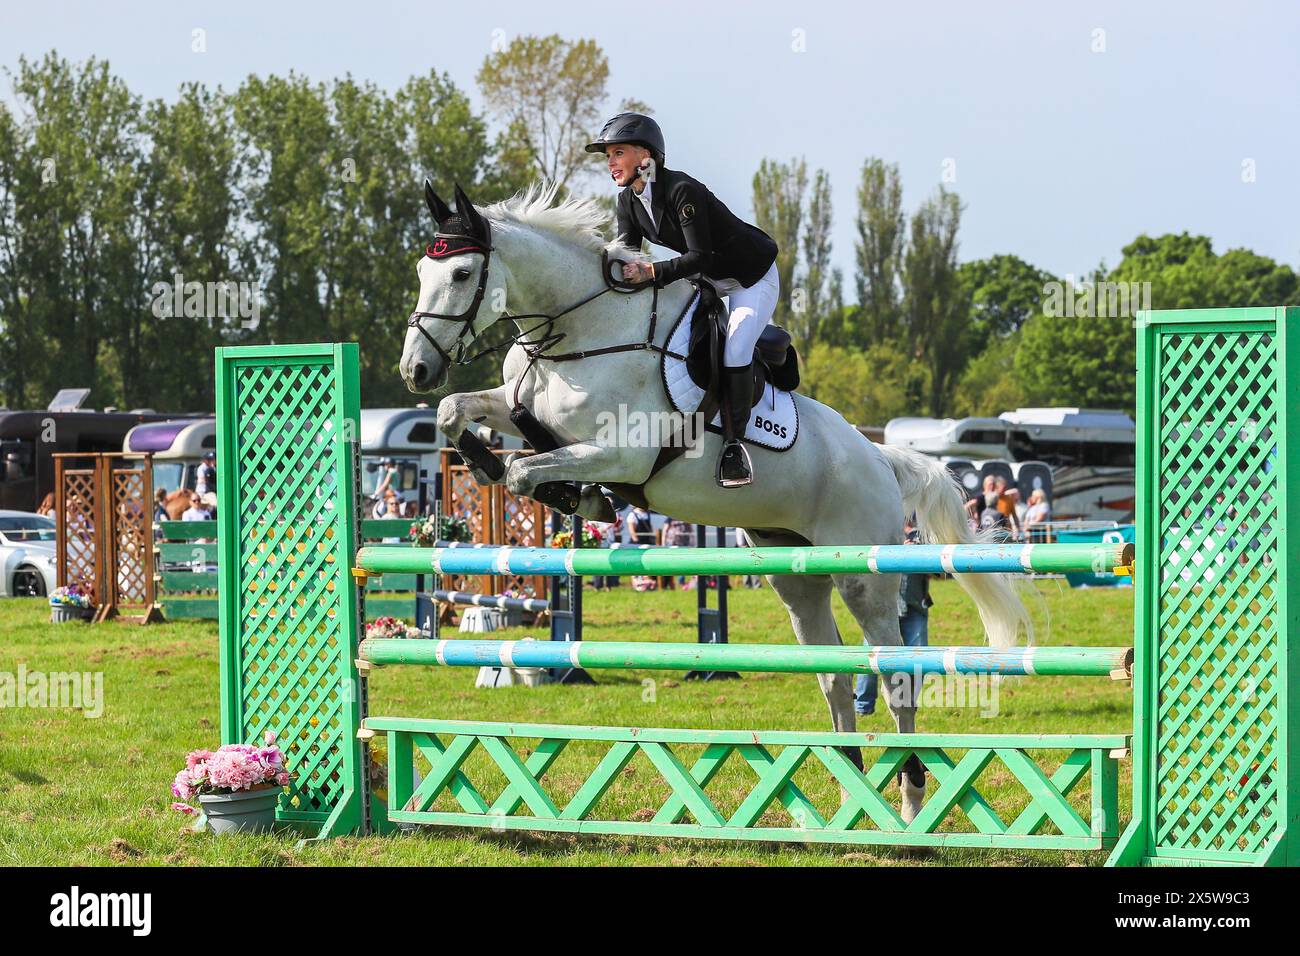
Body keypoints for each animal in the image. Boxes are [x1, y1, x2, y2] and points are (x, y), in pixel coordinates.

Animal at [400, 179, 1029, 822]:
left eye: (461, 273)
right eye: (424, 269)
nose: (415, 369)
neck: (581, 334)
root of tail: (880, 458)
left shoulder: (621, 455)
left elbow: (527, 473)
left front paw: (572, 494)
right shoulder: (524, 407)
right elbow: (458, 412)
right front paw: (491, 462)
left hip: (864, 577)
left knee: (896, 675)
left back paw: (909, 800)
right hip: (796, 576)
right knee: (832, 674)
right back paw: (848, 785)